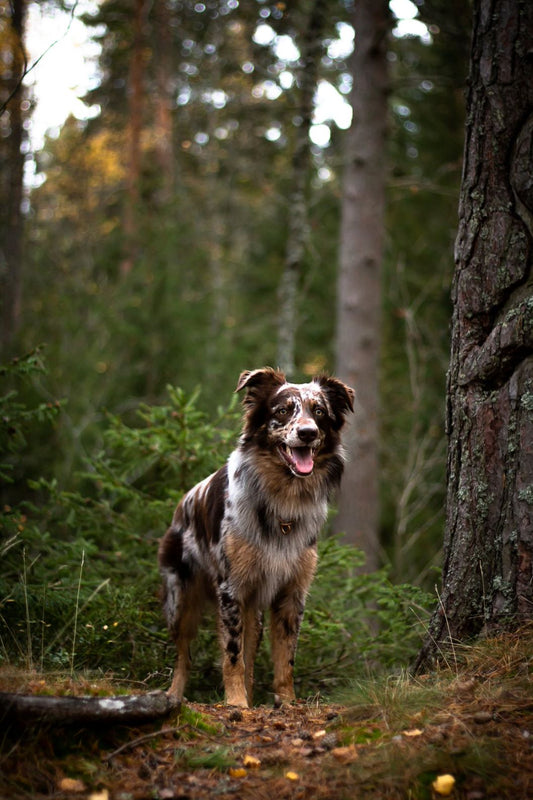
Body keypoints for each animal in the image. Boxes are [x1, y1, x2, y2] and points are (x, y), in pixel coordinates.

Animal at [160, 368, 356, 708]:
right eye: (283, 411)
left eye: (319, 412)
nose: (307, 433)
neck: (282, 500)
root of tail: (182, 503)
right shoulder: (231, 589)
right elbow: (232, 656)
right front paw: (236, 703)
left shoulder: (292, 593)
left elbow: (285, 659)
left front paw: (287, 702)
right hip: (180, 600)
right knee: (184, 656)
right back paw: (174, 695)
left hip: (254, 611)